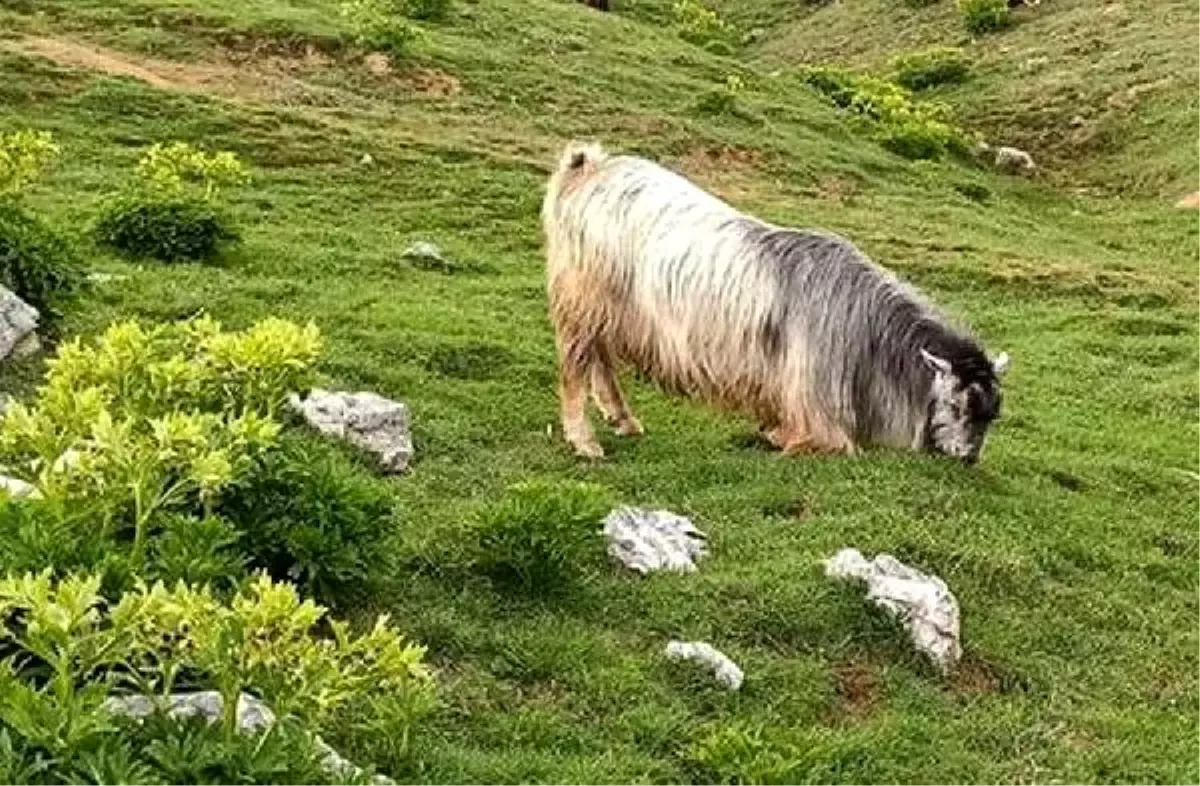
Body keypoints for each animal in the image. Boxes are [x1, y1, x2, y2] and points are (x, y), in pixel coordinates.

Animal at [542, 142, 1003, 460]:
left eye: (992, 414)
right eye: (958, 404)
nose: (968, 458)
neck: (864, 326)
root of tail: (587, 168)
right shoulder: (815, 400)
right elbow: (826, 442)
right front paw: (782, 439)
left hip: (608, 309)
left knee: (599, 357)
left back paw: (623, 420)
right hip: (582, 297)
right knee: (575, 364)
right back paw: (585, 441)